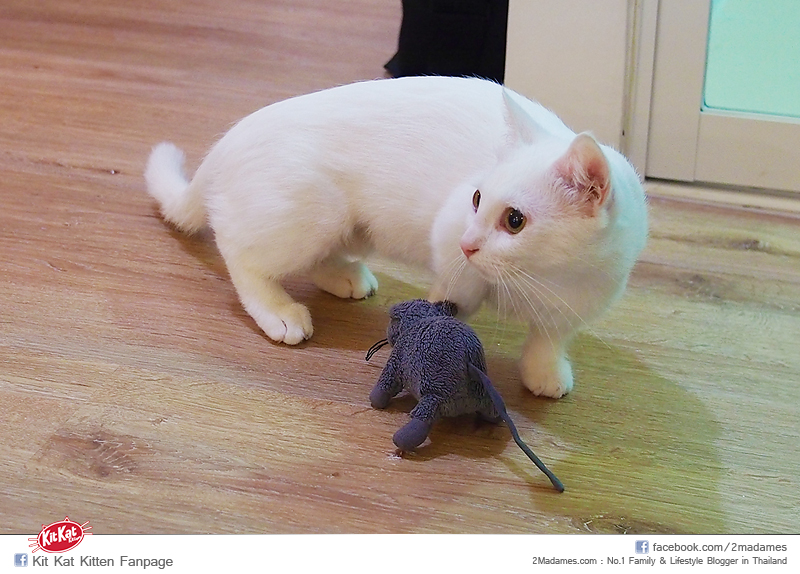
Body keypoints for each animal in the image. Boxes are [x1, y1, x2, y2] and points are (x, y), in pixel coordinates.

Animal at [144, 75, 648, 399]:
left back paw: (345, 278)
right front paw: (439, 326)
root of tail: (232, 136)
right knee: (239, 250)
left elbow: (550, 336)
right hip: (311, 212)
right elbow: (453, 294)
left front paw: (544, 370)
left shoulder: (578, 303)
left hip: (350, 227)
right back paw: (278, 311)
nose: (469, 243)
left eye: (515, 221)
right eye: (476, 197)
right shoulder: (448, 236)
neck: (544, 277)